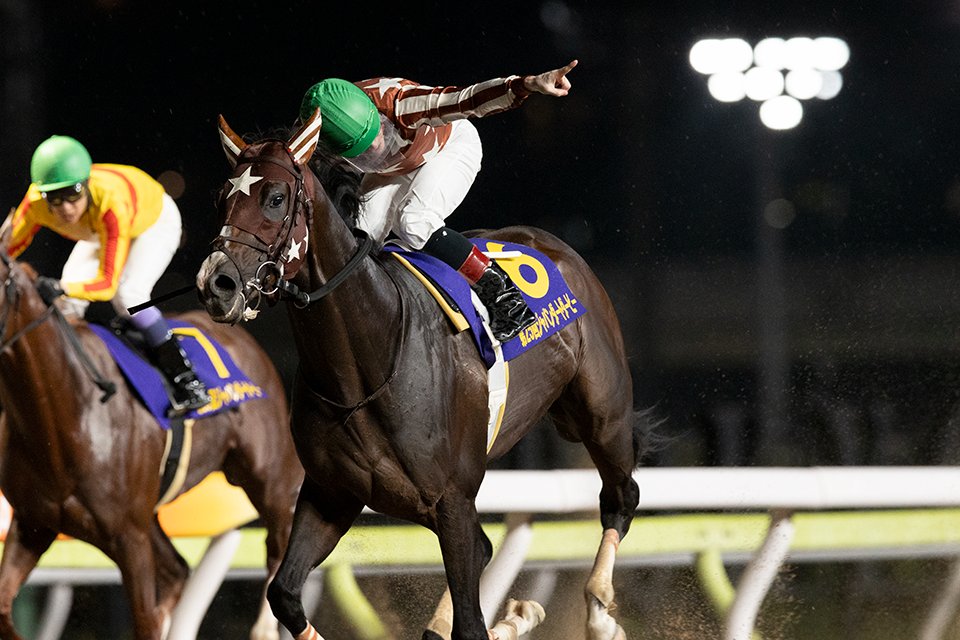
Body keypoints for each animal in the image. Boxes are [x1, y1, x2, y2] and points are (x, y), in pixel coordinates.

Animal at [0, 251, 304, 640]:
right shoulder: (33, 525)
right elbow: (4, 607)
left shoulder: (129, 537)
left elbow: (145, 619)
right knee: (177, 569)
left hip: (271, 478)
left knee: (278, 541)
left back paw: (267, 627)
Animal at [196, 110, 651, 640]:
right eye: (221, 198)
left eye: (275, 198)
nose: (216, 283)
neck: (366, 363)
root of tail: (556, 246)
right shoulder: (332, 492)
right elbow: (284, 594)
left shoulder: (452, 501)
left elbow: (472, 622)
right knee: (486, 551)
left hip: (601, 412)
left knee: (621, 497)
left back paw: (599, 614)